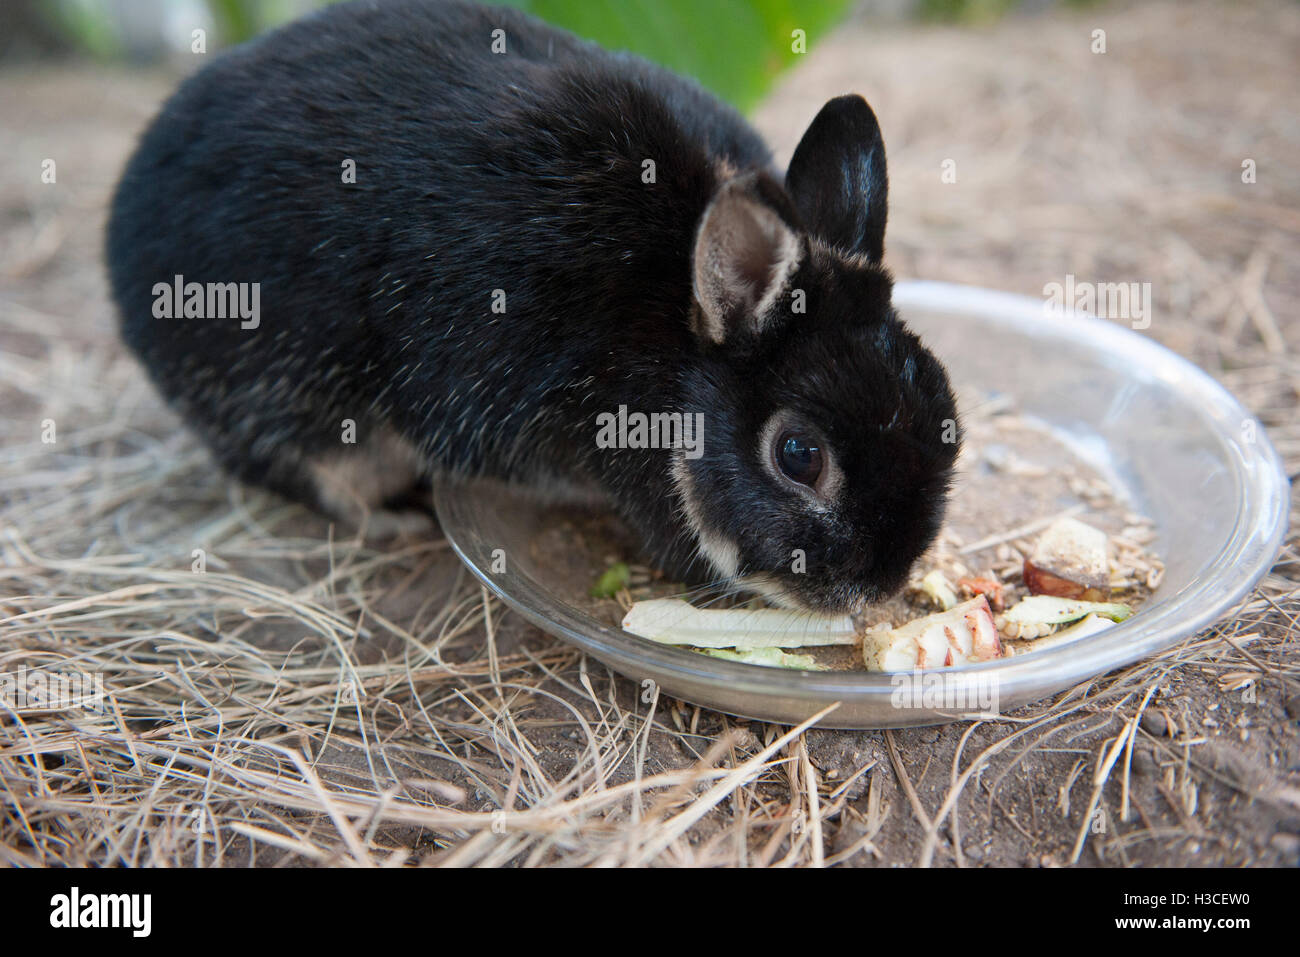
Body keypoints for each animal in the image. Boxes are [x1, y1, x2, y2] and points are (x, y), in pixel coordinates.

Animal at [106, 0, 961, 613]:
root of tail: (124, 232)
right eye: (799, 455)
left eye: (942, 403)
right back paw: (389, 519)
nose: (882, 585)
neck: (667, 343)